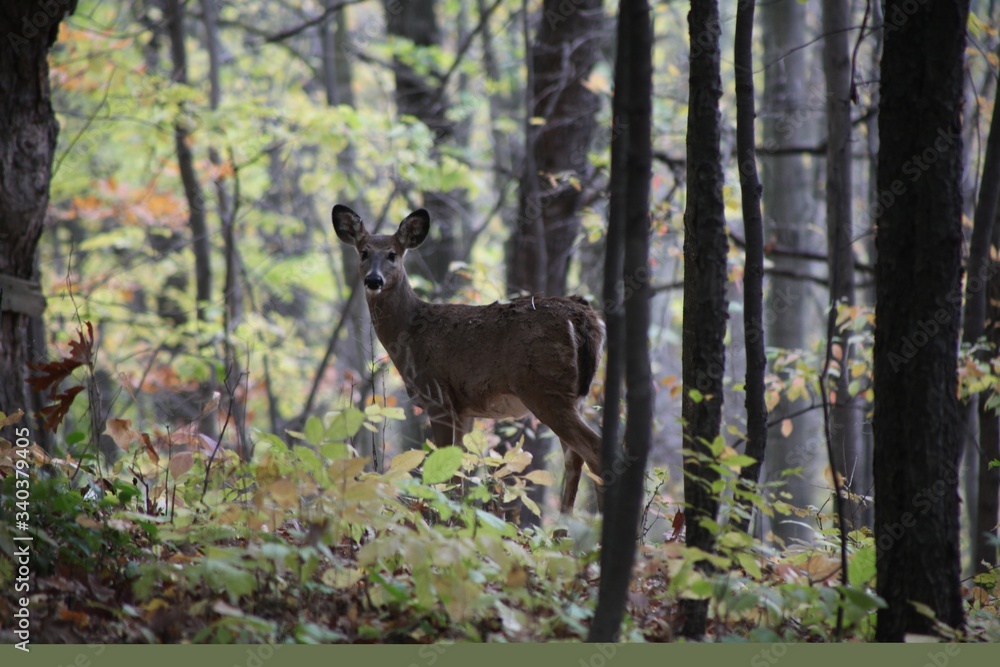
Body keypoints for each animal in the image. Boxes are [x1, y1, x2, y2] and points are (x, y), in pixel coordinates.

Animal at [332, 204, 605, 513]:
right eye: (364, 252)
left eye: (393, 254)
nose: (373, 280)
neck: (410, 331)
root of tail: (585, 317)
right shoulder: (464, 410)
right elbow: (459, 472)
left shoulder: (437, 396)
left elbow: (443, 472)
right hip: (574, 396)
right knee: (575, 458)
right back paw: (564, 525)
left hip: (544, 389)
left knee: (593, 450)